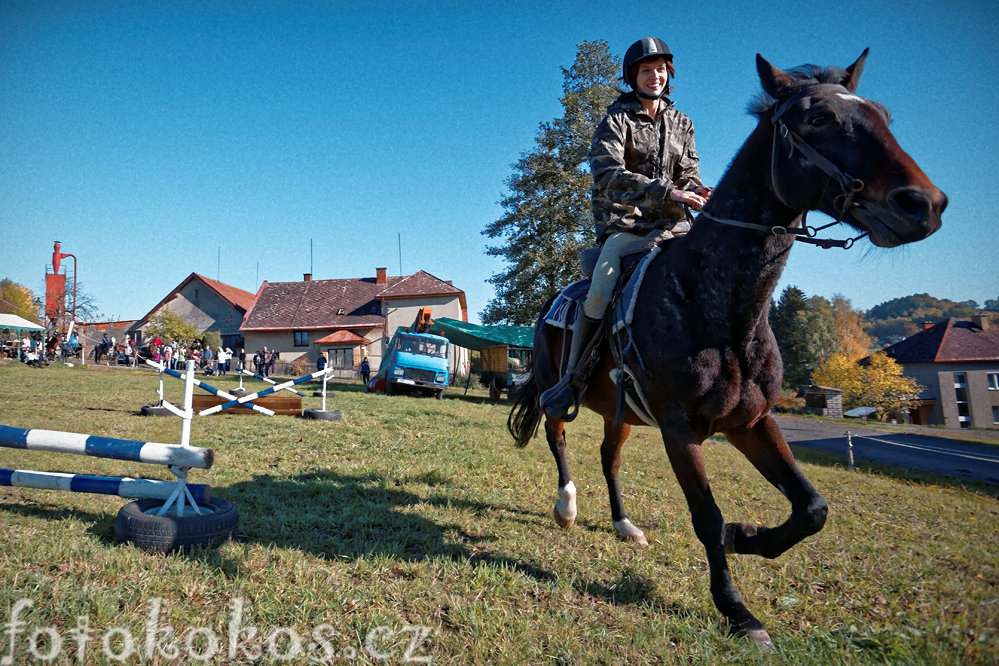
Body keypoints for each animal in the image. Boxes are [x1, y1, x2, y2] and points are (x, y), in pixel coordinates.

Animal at [508, 50, 944, 644]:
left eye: (884, 114)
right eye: (817, 118)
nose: (924, 204)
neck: (719, 309)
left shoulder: (751, 423)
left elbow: (812, 508)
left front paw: (749, 534)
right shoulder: (680, 430)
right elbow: (708, 519)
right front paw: (738, 610)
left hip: (621, 412)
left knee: (609, 457)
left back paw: (624, 525)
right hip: (560, 387)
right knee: (557, 436)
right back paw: (566, 507)